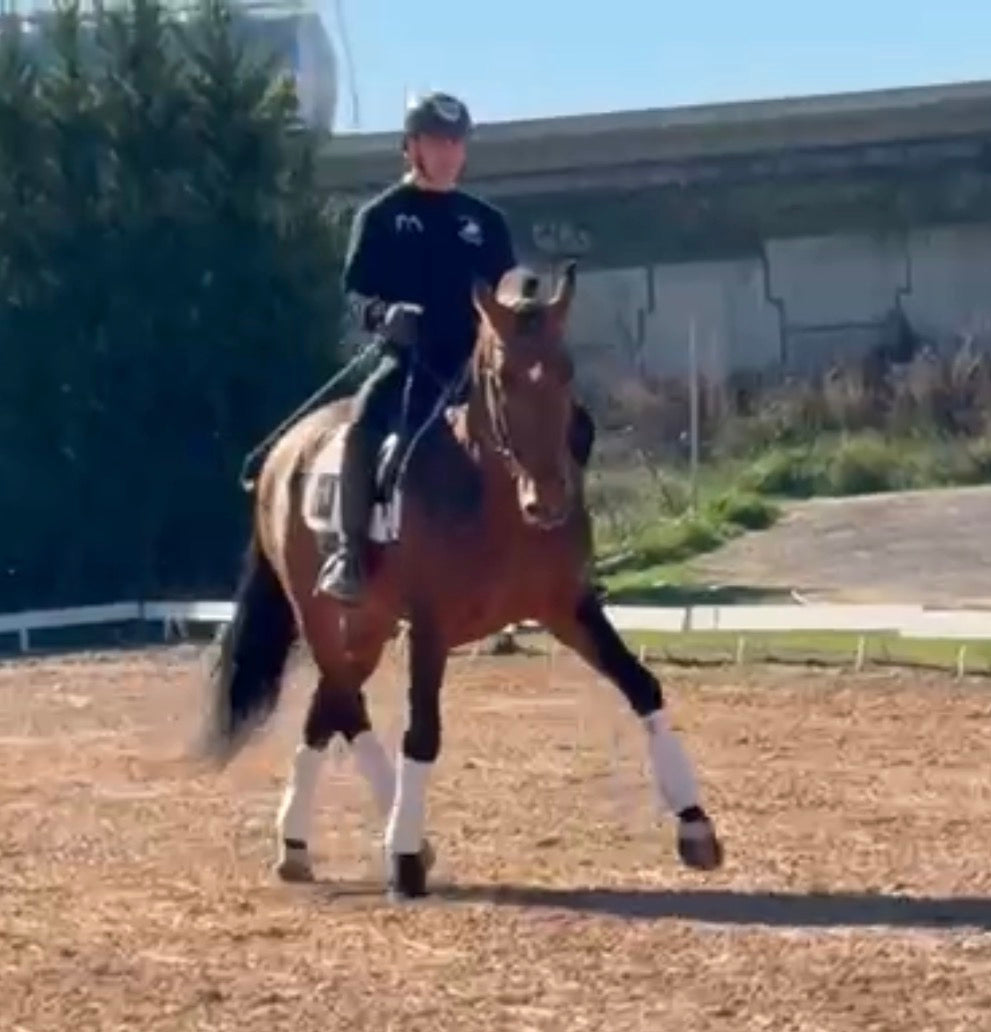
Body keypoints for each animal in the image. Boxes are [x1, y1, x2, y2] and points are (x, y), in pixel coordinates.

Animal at [198, 261, 723, 899]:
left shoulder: (569, 608)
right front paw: (402, 858)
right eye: (500, 377)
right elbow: (422, 733)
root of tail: (282, 453)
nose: (549, 499)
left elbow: (642, 686)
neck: (495, 498)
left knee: (327, 706)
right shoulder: (431, 626)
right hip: (319, 612)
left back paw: (296, 845)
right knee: (346, 702)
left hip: (370, 624)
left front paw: (695, 825)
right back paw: (399, 840)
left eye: (567, 369)